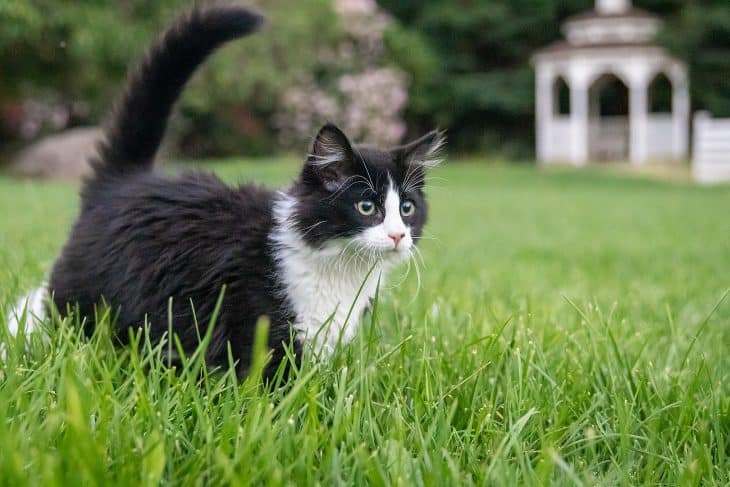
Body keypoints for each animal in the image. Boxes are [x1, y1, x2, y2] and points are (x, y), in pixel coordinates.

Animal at [5, 3, 440, 378]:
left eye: (406, 208)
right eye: (366, 207)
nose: (398, 236)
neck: (339, 267)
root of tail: (124, 180)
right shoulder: (254, 315)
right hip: (87, 286)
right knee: (53, 310)